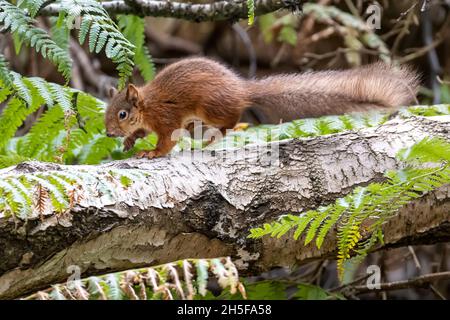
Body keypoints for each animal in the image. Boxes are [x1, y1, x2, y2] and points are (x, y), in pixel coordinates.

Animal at [104, 57, 418, 159]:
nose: (108, 134)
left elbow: (166, 141)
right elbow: (141, 133)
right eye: (107, 113)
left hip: (210, 107)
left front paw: (152, 153)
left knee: (232, 121)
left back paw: (216, 137)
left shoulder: (166, 118)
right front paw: (130, 142)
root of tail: (242, 90)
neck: (146, 106)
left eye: (122, 114)